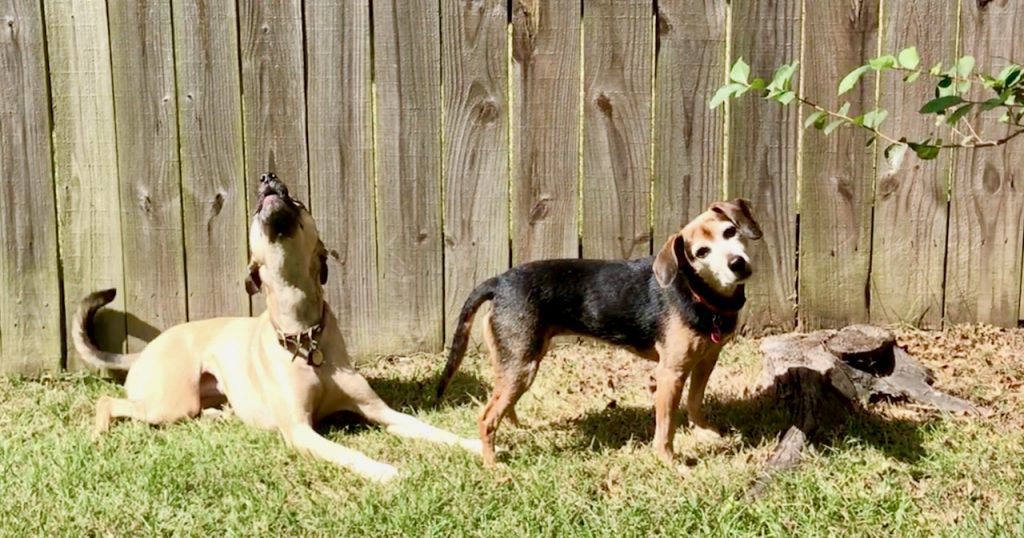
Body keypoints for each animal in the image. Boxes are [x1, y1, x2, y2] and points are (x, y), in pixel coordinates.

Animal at [75, 173, 483, 481]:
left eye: (298, 202)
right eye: (257, 210)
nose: (268, 178)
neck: (305, 336)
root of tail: (145, 351)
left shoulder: (380, 411)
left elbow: (433, 430)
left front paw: (477, 445)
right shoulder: (300, 432)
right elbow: (349, 454)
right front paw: (384, 471)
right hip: (169, 402)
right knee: (108, 401)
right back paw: (98, 434)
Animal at [436, 198, 765, 463]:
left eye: (730, 232)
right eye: (701, 253)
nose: (737, 263)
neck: (700, 294)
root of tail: (498, 281)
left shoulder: (706, 360)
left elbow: (695, 402)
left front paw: (704, 433)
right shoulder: (670, 373)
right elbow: (666, 427)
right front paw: (670, 462)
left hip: (514, 360)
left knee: (502, 402)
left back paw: (516, 430)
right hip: (522, 365)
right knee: (486, 417)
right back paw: (494, 466)